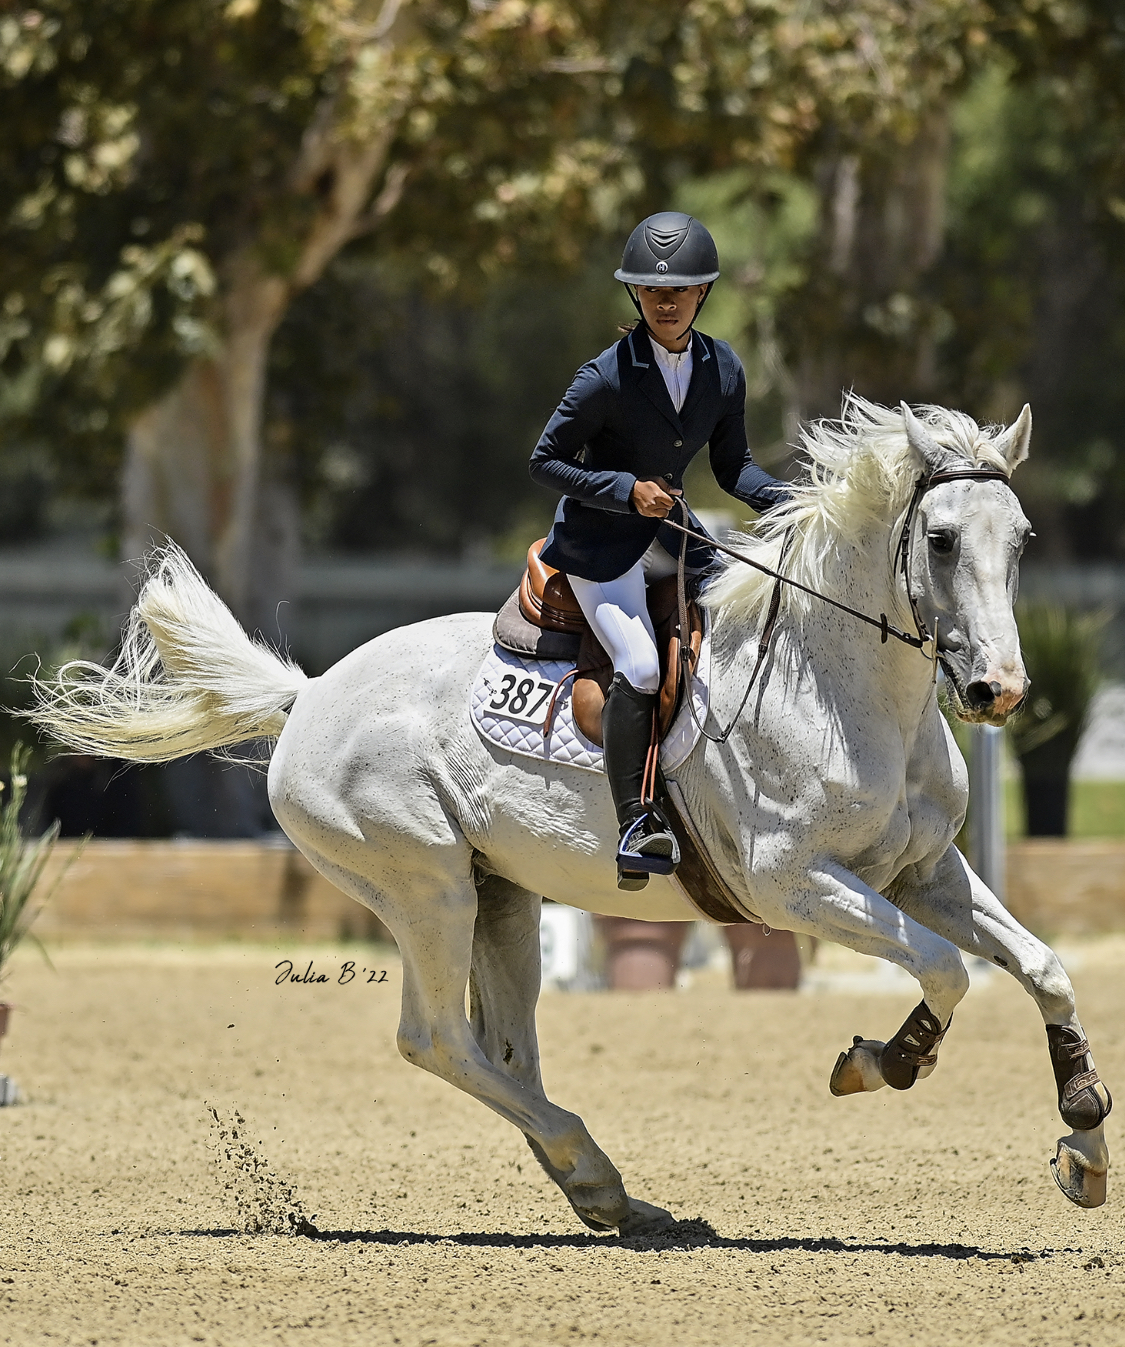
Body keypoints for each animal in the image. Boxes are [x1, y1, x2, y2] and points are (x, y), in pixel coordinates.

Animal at [30, 396, 1111, 1234]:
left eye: (1019, 541)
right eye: (940, 539)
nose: (997, 691)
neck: (841, 685)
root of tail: (309, 694)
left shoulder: (921, 872)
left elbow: (1041, 966)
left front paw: (1085, 1135)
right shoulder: (796, 884)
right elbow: (947, 971)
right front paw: (878, 1063)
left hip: (500, 896)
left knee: (505, 1044)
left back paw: (606, 1195)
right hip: (424, 888)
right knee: (437, 1039)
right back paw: (593, 1169)